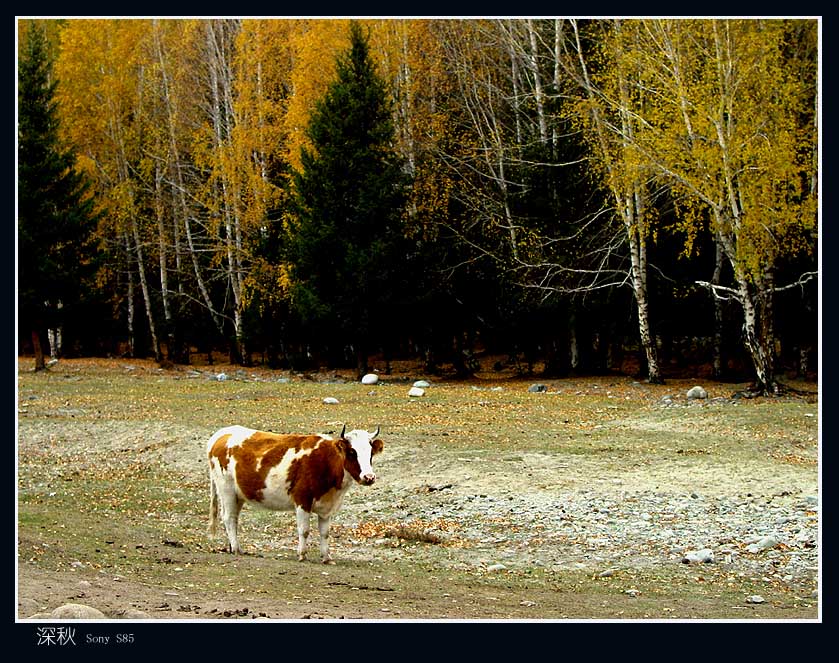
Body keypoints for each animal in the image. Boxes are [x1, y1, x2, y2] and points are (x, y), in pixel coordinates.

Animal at [207, 426, 384, 564]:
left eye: (370, 453)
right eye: (352, 452)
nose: (369, 477)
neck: (326, 461)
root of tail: (221, 434)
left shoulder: (327, 507)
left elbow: (325, 533)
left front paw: (326, 557)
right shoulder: (302, 500)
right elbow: (304, 530)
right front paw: (302, 555)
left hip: (239, 495)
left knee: (234, 518)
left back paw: (233, 547)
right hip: (226, 489)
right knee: (229, 517)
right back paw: (236, 548)